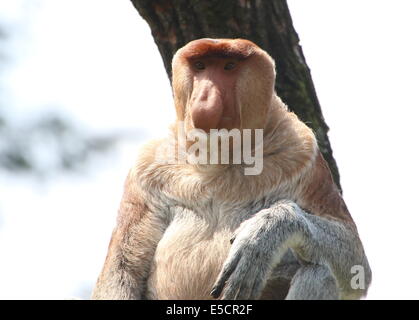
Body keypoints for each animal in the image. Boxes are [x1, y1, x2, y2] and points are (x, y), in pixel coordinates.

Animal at [92, 38, 370, 300]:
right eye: (200, 66)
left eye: (229, 66)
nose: (204, 100)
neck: (219, 159)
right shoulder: (145, 170)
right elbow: (122, 268)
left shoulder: (306, 157)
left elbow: (356, 259)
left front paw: (263, 234)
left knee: (321, 273)